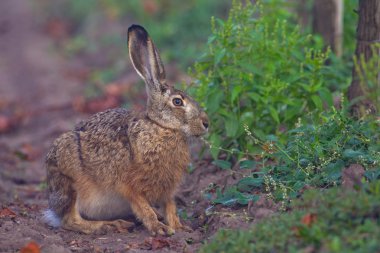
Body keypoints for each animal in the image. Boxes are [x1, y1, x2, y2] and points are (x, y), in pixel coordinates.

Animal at [43, 24, 209, 236]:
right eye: (178, 102)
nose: (206, 123)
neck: (161, 127)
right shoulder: (129, 186)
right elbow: (144, 208)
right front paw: (159, 229)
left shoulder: (167, 190)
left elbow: (171, 207)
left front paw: (180, 227)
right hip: (69, 183)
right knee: (70, 220)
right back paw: (111, 225)